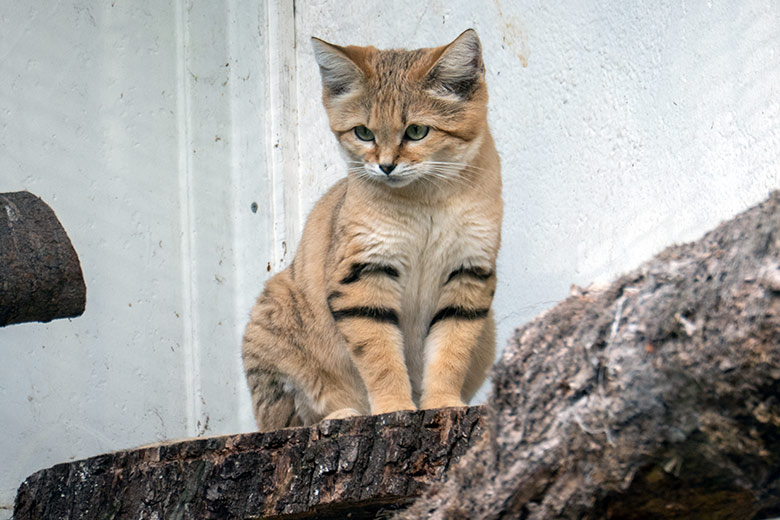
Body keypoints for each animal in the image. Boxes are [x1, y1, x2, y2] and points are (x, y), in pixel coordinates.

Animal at [241, 28, 502, 430]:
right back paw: (341, 414)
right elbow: (379, 354)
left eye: (417, 131)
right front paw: (394, 407)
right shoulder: (362, 275)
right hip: (271, 324)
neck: (426, 201)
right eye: (363, 132)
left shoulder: (468, 273)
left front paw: (442, 403)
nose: (386, 166)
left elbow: (451, 350)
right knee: (283, 419)